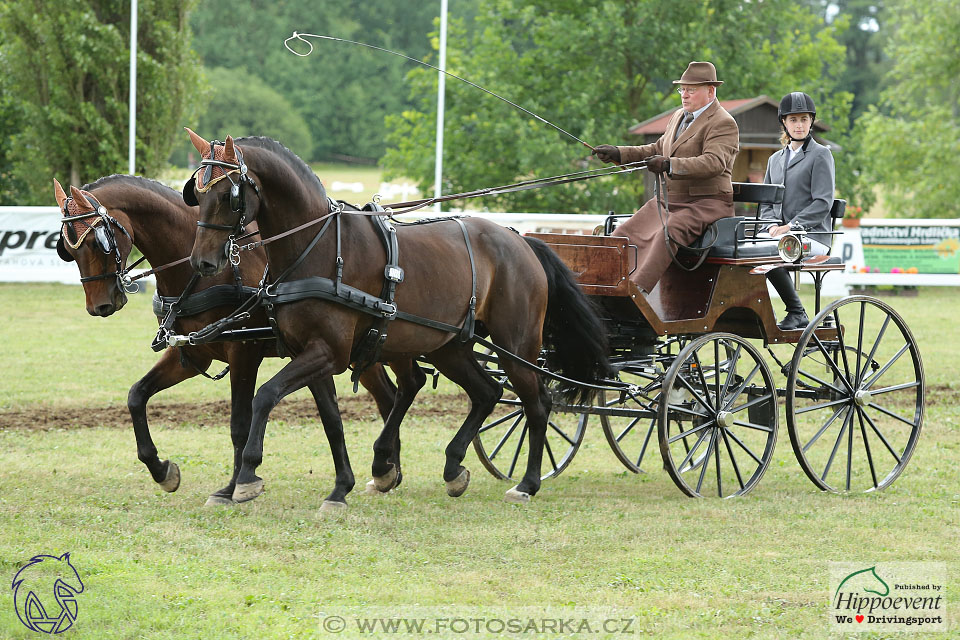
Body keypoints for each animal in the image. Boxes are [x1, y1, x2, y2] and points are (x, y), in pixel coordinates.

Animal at [54, 175, 404, 504]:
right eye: (68, 249)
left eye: (97, 242)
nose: (99, 306)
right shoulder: (193, 354)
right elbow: (136, 396)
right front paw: (162, 470)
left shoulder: (244, 351)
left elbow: (239, 423)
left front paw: (236, 485)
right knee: (390, 396)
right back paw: (388, 470)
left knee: (395, 393)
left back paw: (386, 467)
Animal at [184, 131, 612, 510]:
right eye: (197, 194)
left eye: (228, 195)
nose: (202, 263)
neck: (317, 245)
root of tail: (520, 239)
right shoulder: (310, 353)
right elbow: (332, 421)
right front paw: (341, 488)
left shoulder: (328, 353)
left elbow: (265, 395)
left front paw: (247, 477)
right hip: (447, 346)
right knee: (486, 392)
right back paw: (452, 467)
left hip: (515, 346)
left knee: (537, 404)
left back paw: (527, 483)